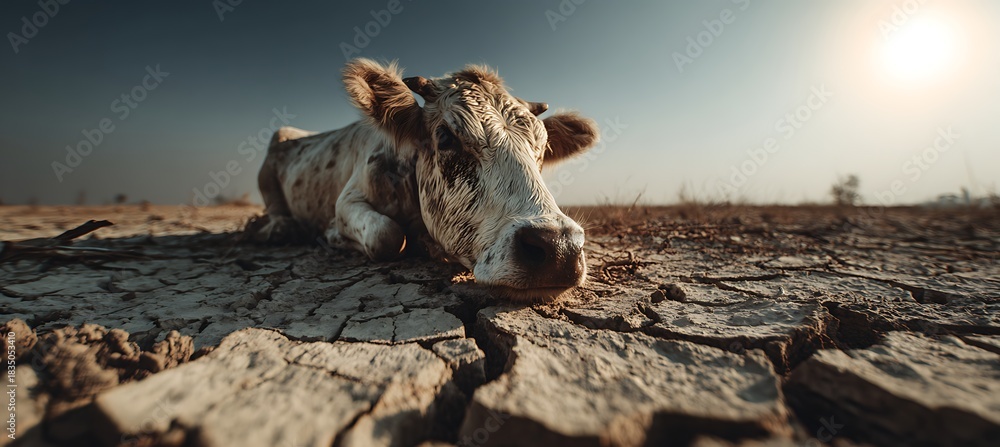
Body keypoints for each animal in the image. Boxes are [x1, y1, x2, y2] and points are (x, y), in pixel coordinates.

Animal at [250, 58, 600, 301]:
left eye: (542, 148)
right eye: (445, 137)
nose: (559, 247)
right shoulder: (347, 200)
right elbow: (386, 235)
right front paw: (334, 236)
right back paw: (273, 227)